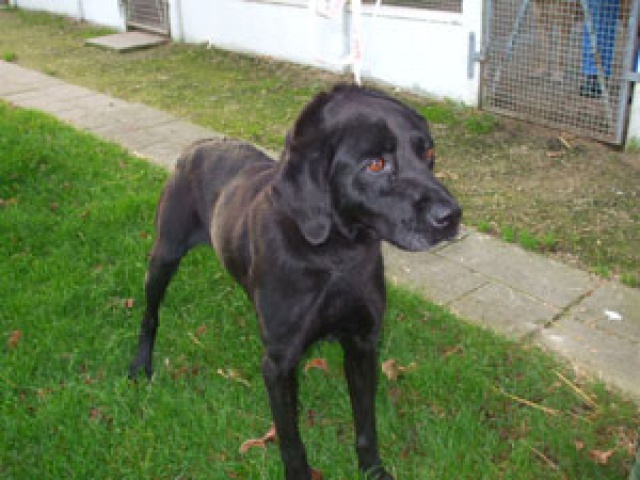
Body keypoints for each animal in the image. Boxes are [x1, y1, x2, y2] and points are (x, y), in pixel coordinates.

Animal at [131, 84, 460, 478]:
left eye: (429, 153)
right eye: (375, 164)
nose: (453, 217)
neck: (335, 255)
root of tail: (198, 145)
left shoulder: (363, 343)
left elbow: (366, 423)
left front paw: (372, 470)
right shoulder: (279, 364)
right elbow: (290, 440)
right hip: (164, 257)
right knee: (150, 314)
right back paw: (140, 364)